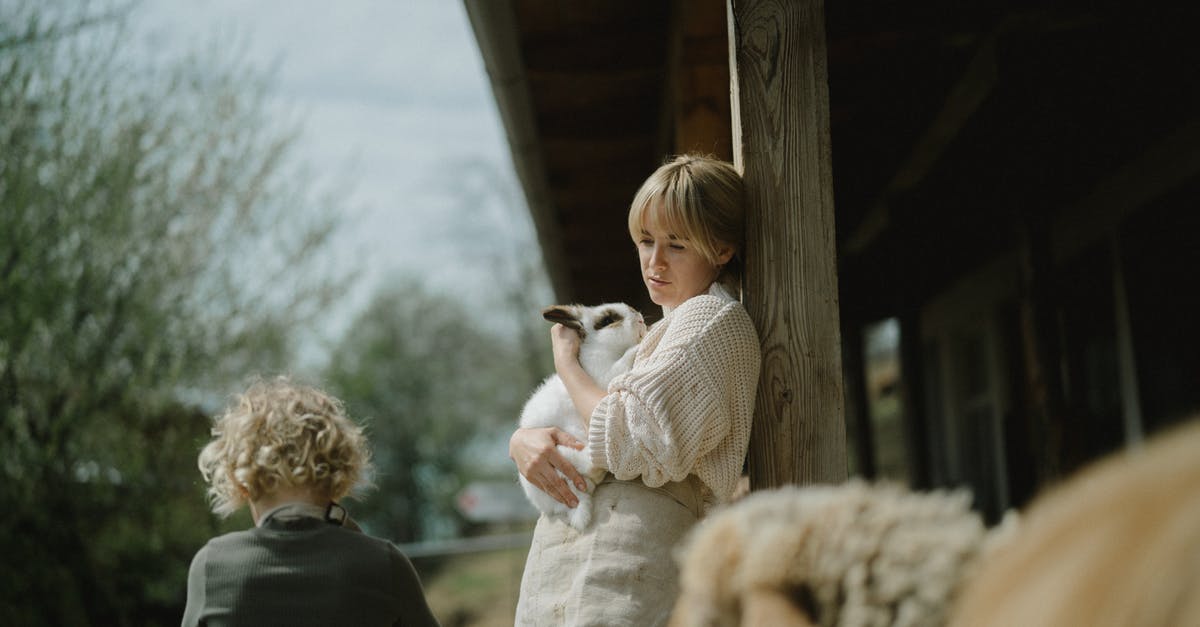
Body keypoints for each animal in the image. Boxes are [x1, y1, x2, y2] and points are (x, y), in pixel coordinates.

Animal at [518, 301, 648, 526]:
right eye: (607, 320)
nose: (640, 318)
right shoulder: (607, 375)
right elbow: (625, 359)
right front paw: (642, 341)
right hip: (560, 456)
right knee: (581, 462)